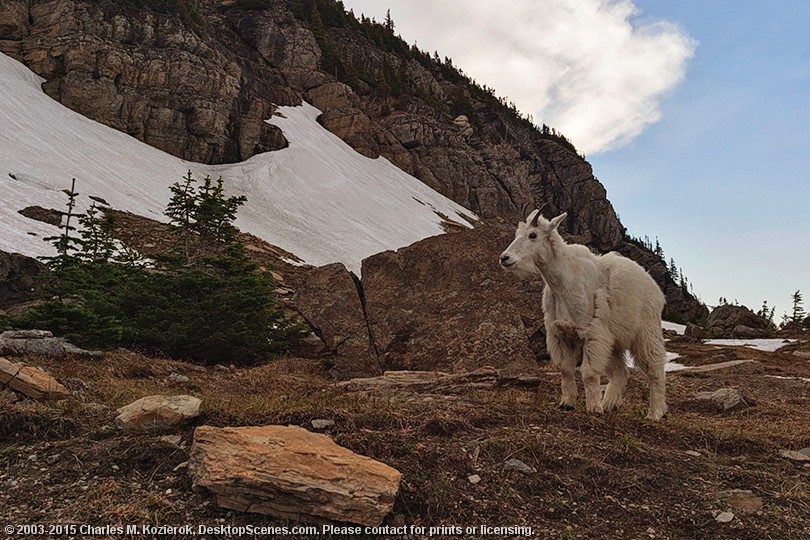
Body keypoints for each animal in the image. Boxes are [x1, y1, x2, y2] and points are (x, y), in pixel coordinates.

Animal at [502, 207, 664, 422]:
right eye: (516, 233)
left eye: (533, 235)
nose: (504, 258)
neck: (563, 282)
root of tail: (653, 285)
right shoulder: (560, 334)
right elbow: (566, 369)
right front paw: (567, 404)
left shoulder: (592, 334)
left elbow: (588, 373)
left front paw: (593, 408)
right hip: (613, 342)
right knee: (621, 372)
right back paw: (609, 404)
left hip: (646, 331)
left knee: (655, 369)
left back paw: (655, 413)